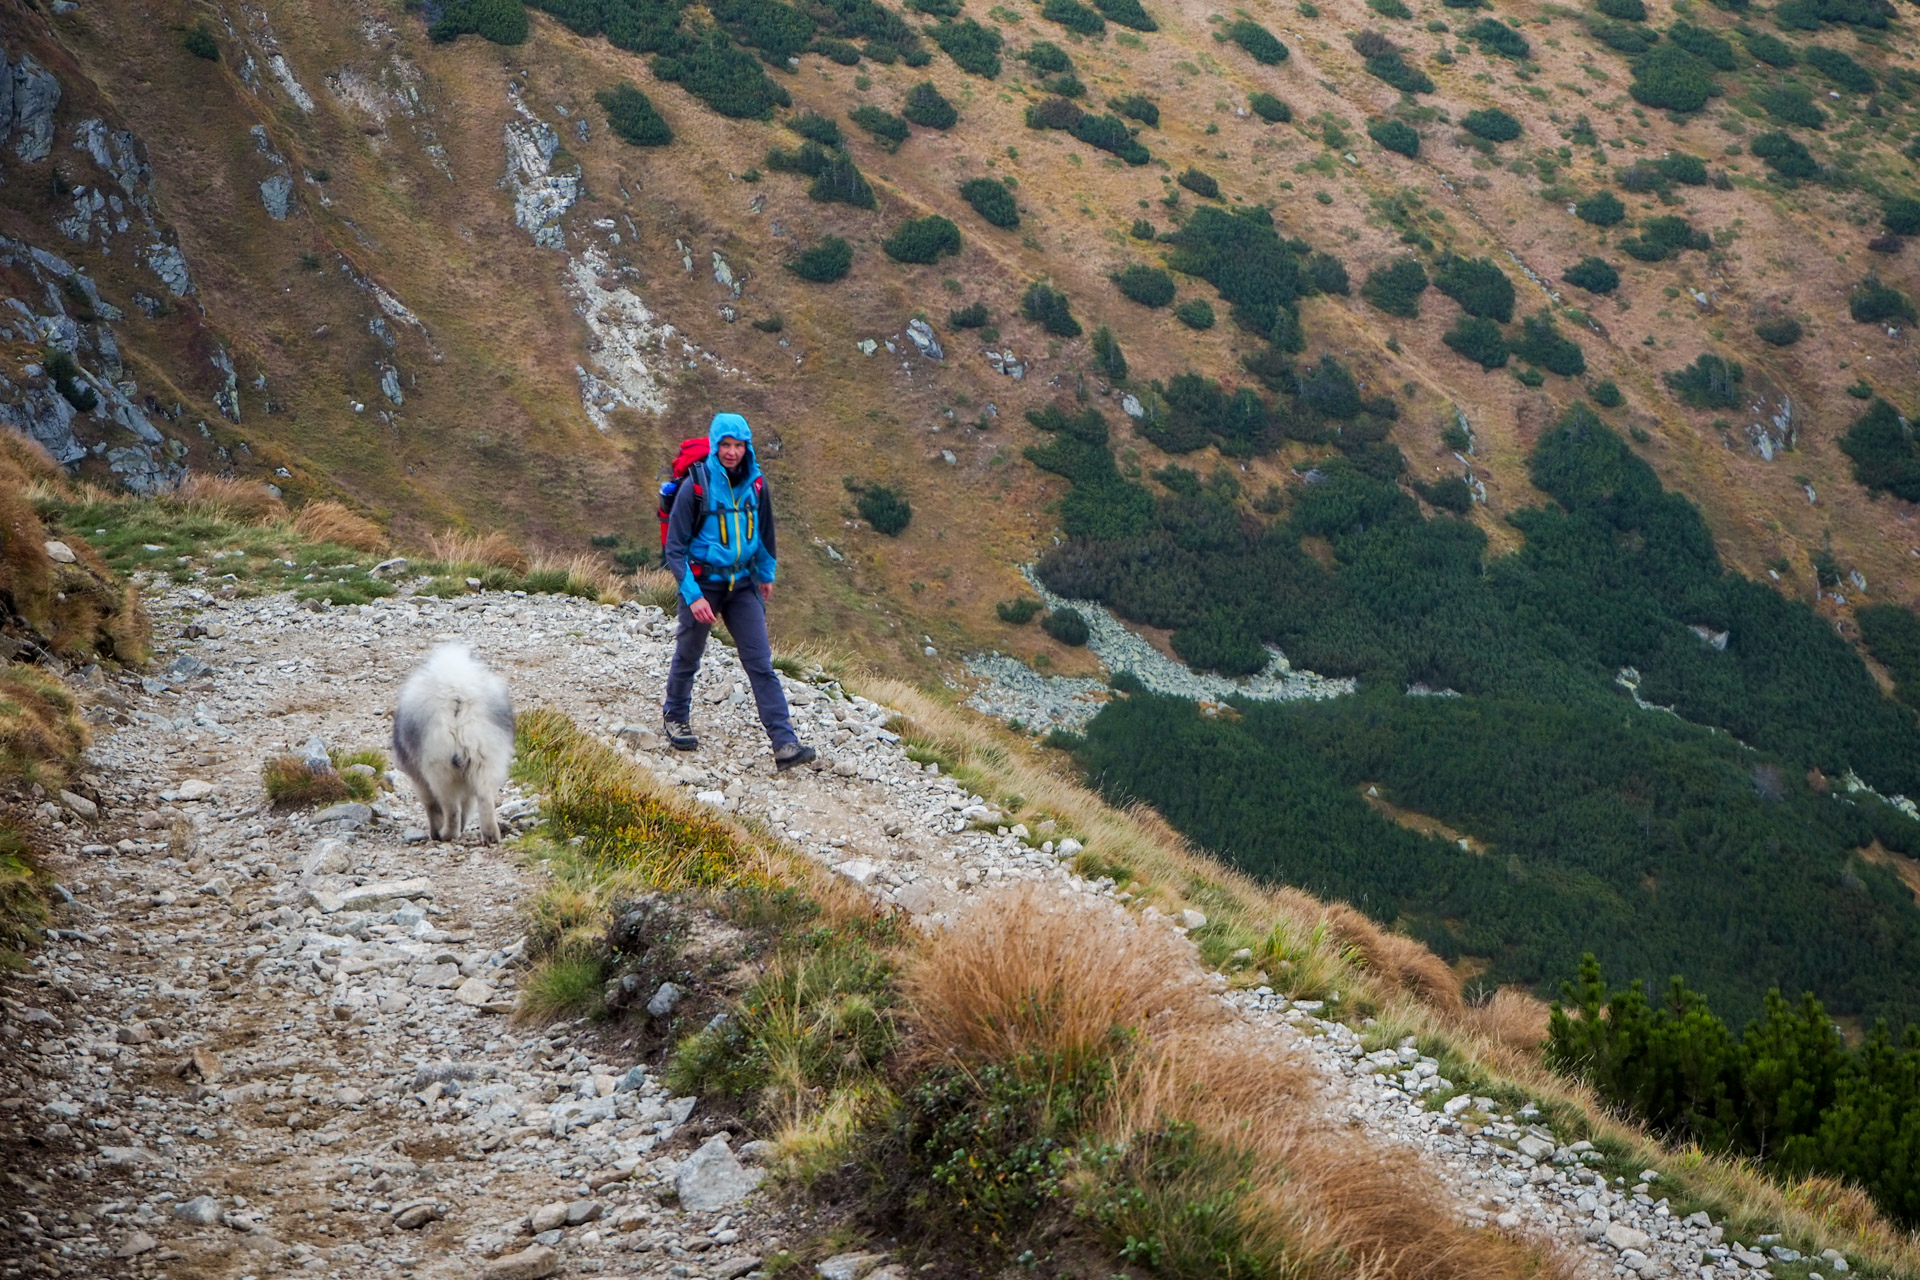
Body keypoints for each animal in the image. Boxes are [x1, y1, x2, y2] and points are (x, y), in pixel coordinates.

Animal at [393, 644, 514, 844]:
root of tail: (457, 695)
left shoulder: (420, 780)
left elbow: (432, 806)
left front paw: (435, 832)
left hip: (440, 766)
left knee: (451, 809)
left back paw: (446, 834)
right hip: (486, 756)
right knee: (484, 798)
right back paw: (491, 836)